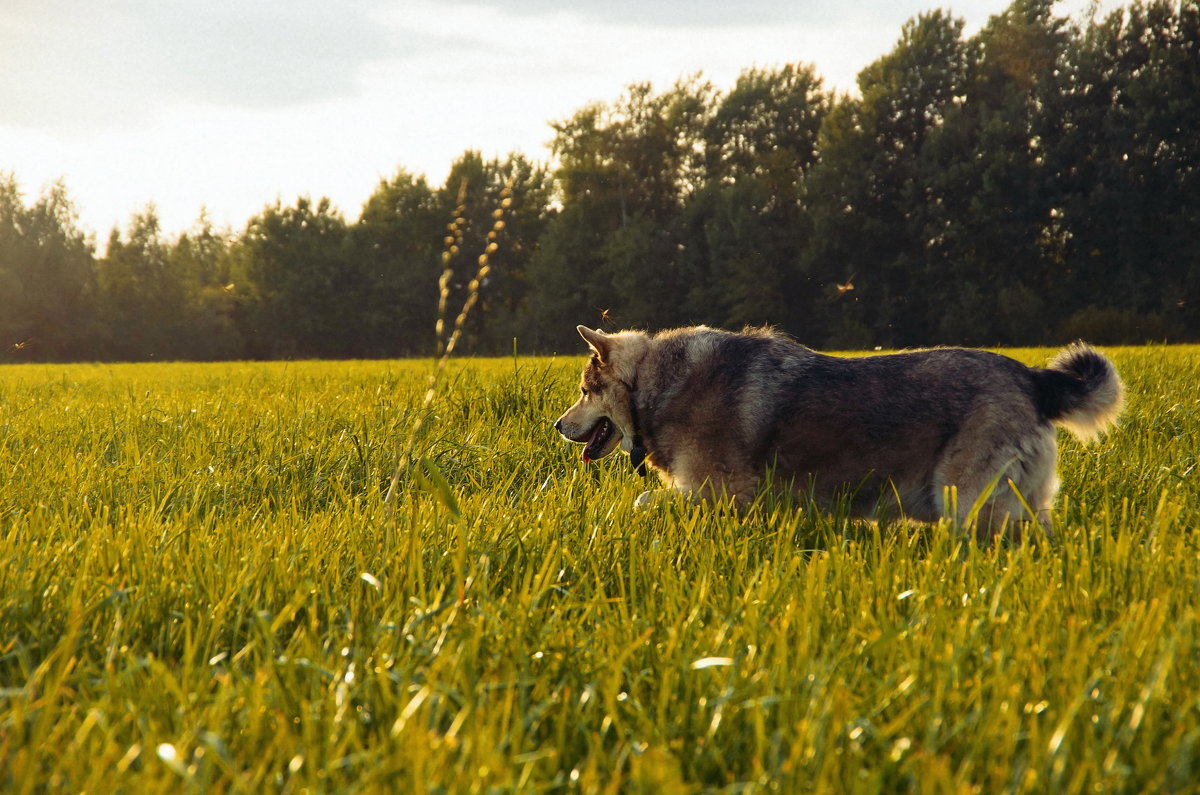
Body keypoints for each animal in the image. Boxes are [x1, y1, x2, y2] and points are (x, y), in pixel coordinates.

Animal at [552, 326, 1123, 542]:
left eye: (583, 390)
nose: (557, 426)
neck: (656, 386)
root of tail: (1032, 377)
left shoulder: (720, 492)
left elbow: (643, 501)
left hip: (971, 506)